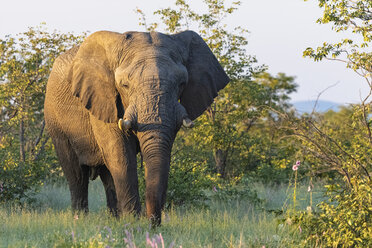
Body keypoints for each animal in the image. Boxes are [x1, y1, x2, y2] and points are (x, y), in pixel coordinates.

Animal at [44, 29, 230, 225]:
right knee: (77, 175)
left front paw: (133, 221)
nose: (153, 223)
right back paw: (80, 220)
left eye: (181, 84)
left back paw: (114, 219)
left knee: (107, 176)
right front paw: (133, 222)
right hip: (55, 121)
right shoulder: (103, 99)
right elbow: (121, 156)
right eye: (124, 85)